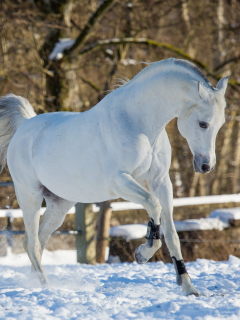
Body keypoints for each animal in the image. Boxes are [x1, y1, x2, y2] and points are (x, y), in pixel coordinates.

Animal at [0, 58, 228, 296]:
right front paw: (142, 253)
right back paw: (48, 288)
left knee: (40, 240)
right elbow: (153, 205)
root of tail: (24, 127)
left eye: (220, 124)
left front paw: (188, 287)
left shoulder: (161, 183)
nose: (206, 165)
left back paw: (38, 284)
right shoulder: (120, 182)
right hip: (30, 196)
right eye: (203, 123)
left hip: (59, 204)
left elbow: (172, 235)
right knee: (32, 243)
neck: (139, 124)